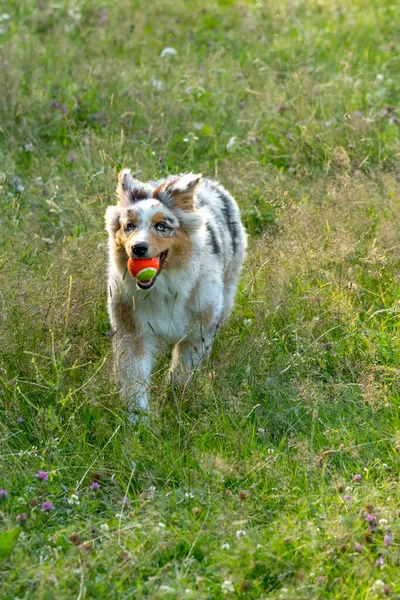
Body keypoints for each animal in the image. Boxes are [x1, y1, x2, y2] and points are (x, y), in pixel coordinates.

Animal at [104, 169, 247, 422]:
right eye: (129, 225)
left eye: (162, 226)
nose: (138, 248)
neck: (163, 288)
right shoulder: (131, 329)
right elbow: (134, 378)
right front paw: (139, 421)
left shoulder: (197, 331)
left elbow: (182, 371)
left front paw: (175, 401)